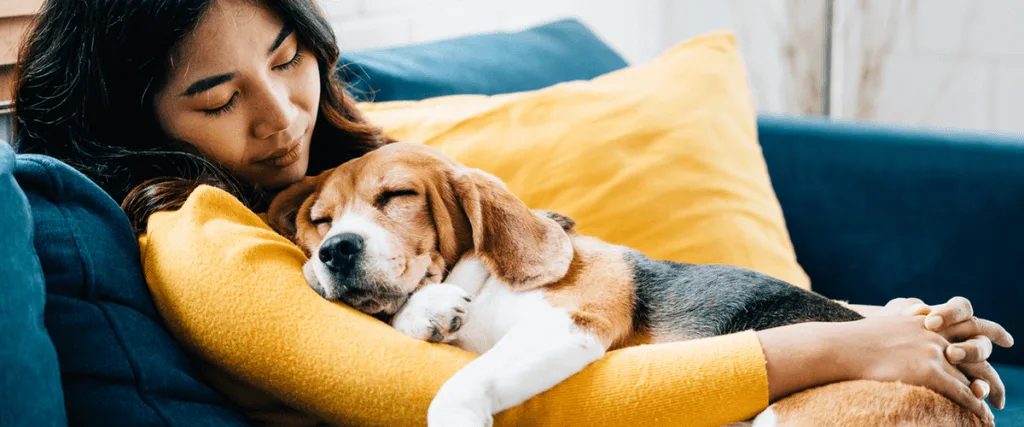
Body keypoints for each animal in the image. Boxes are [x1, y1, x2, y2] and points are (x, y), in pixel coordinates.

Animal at [268, 142, 978, 425]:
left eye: (396, 197)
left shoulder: (571, 323)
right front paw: (426, 311)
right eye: (320, 219)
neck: (485, 278)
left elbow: (463, 383)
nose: (335, 251)